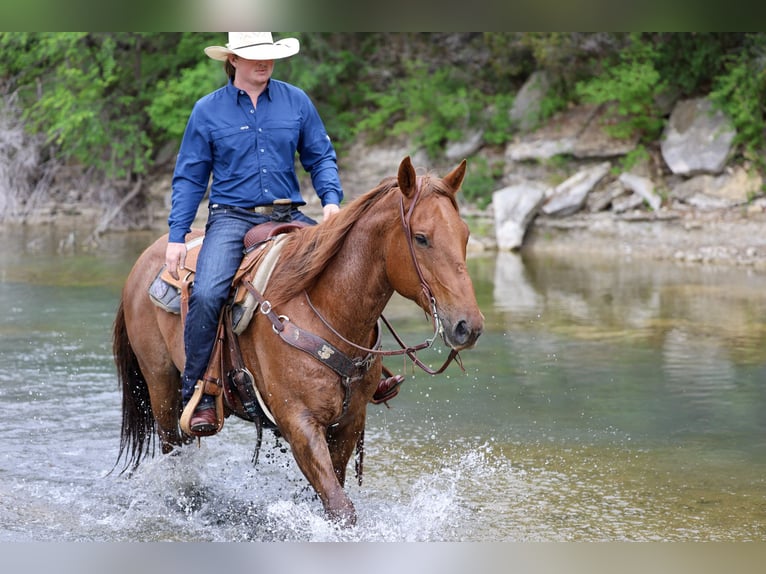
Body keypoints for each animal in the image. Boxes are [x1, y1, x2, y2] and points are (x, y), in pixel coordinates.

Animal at [112, 156, 484, 526]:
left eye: (465, 235)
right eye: (421, 238)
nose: (468, 326)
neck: (327, 312)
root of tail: (145, 260)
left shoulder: (350, 422)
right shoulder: (299, 423)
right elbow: (341, 508)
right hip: (161, 386)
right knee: (174, 452)